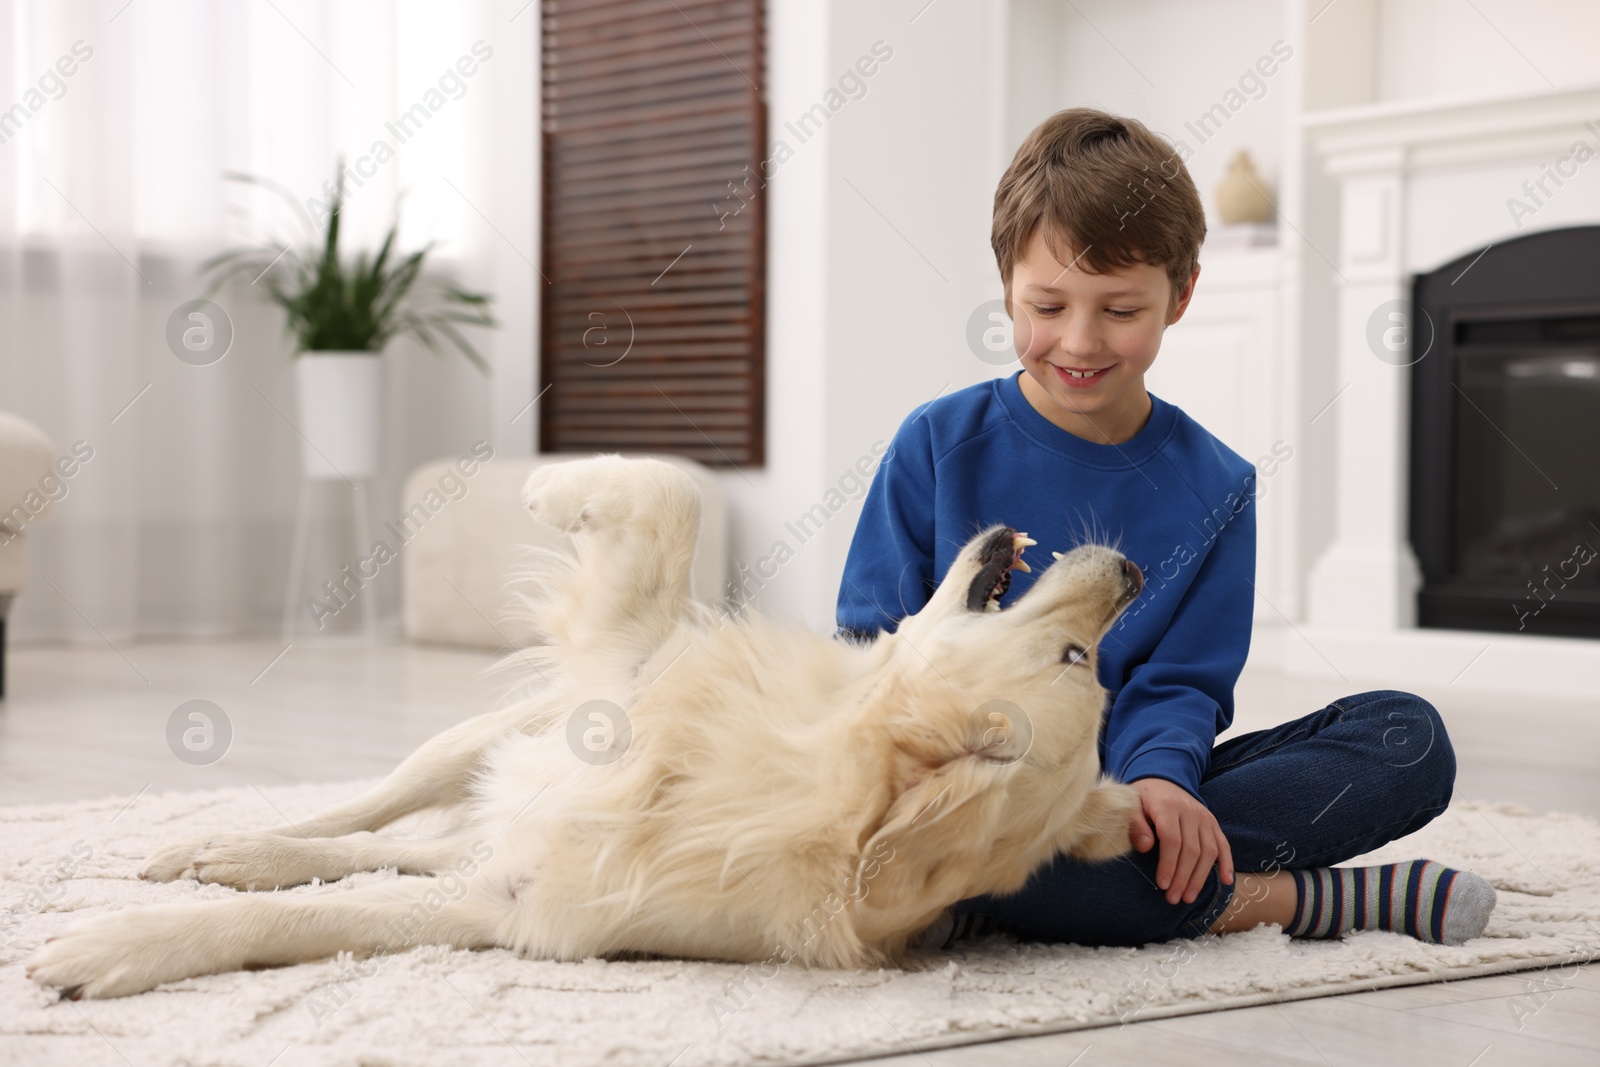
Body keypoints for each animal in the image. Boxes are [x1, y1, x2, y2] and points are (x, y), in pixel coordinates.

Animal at [28, 454, 1152, 1004]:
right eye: (1079, 656)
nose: (1134, 570)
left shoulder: (510, 912)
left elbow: (308, 923)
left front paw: (114, 946)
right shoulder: (627, 662)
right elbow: (674, 491)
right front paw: (560, 483)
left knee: (385, 852)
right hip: (479, 742)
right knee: (360, 814)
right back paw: (218, 842)